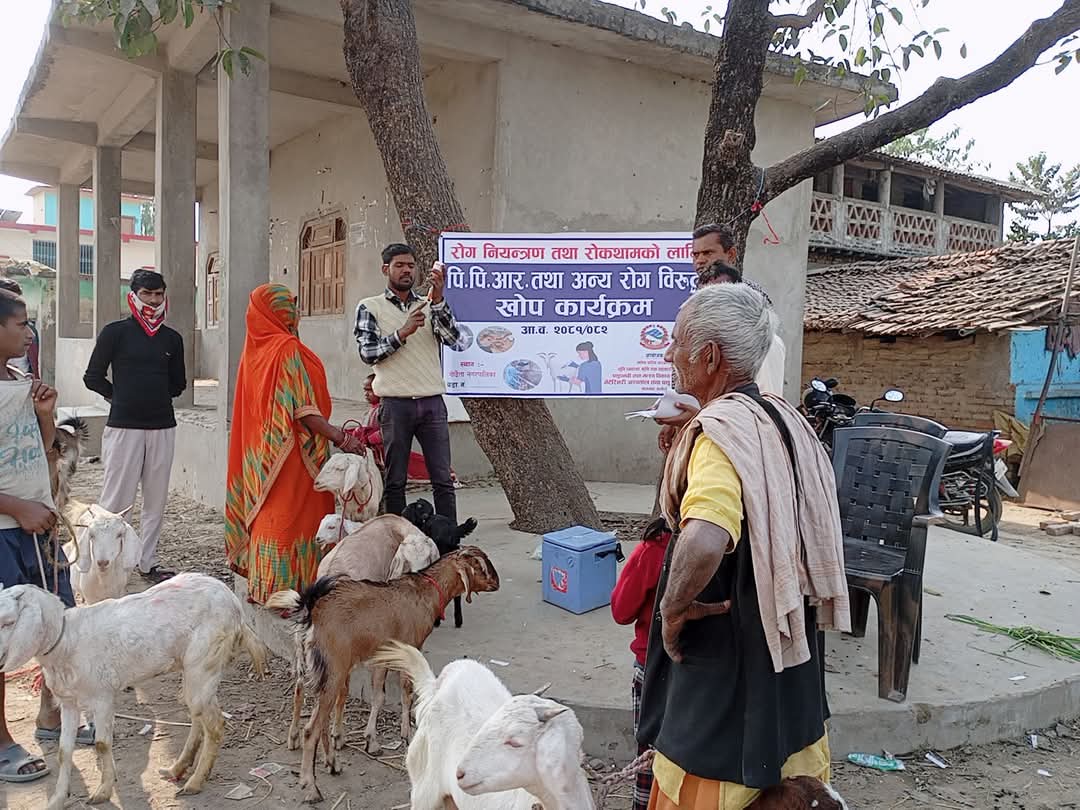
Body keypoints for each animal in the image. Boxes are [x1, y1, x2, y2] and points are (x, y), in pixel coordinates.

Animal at [0, 573, 268, 810]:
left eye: (9, 622)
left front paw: (103, 791)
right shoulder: (68, 702)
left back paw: (195, 782)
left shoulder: (102, 696)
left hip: (205, 660)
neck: (67, 641)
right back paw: (177, 768)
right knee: (198, 717)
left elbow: (102, 744)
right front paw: (57, 801)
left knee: (215, 724)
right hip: (194, 670)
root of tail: (236, 607)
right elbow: (64, 752)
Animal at [267, 514, 439, 751]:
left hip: (303, 650)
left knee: (300, 687)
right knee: (339, 689)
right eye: (408, 562)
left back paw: (294, 737)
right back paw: (337, 736)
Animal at [292, 547, 500, 803]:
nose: (496, 582)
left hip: (319, 671)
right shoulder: (412, 646)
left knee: (315, 711)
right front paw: (406, 733)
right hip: (334, 669)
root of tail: (312, 612)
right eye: (480, 566)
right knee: (311, 728)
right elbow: (406, 693)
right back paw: (311, 788)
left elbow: (378, 696)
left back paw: (332, 763)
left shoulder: (382, 656)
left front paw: (371, 741)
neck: (426, 591)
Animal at [401, 497, 479, 628]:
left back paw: (436, 620)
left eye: (416, 506)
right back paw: (458, 620)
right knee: (457, 595)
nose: (403, 511)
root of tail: (451, 531)